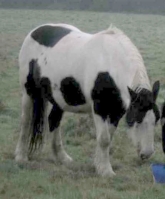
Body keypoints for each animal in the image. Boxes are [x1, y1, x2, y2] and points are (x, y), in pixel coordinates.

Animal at [15, 23, 160, 177]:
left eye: (156, 120)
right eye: (137, 119)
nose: (147, 153)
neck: (111, 62)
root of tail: (35, 31)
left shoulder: (117, 111)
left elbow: (108, 137)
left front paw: (99, 165)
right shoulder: (99, 108)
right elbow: (104, 139)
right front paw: (106, 171)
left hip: (59, 98)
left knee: (54, 120)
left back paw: (62, 158)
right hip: (28, 92)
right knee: (26, 121)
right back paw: (21, 156)